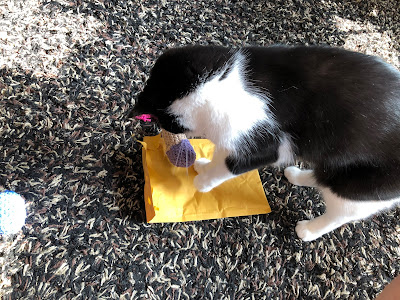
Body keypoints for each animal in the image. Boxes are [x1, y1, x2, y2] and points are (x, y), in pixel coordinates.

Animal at [134, 44, 400, 241]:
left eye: (166, 124)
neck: (219, 83)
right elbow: (222, 153)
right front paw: (205, 165)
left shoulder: (265, 145)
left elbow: (229, 165)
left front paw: (203, 182)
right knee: (324, 177)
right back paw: (297, 175)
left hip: (362, 185)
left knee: (342, 211)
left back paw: (309, 230)